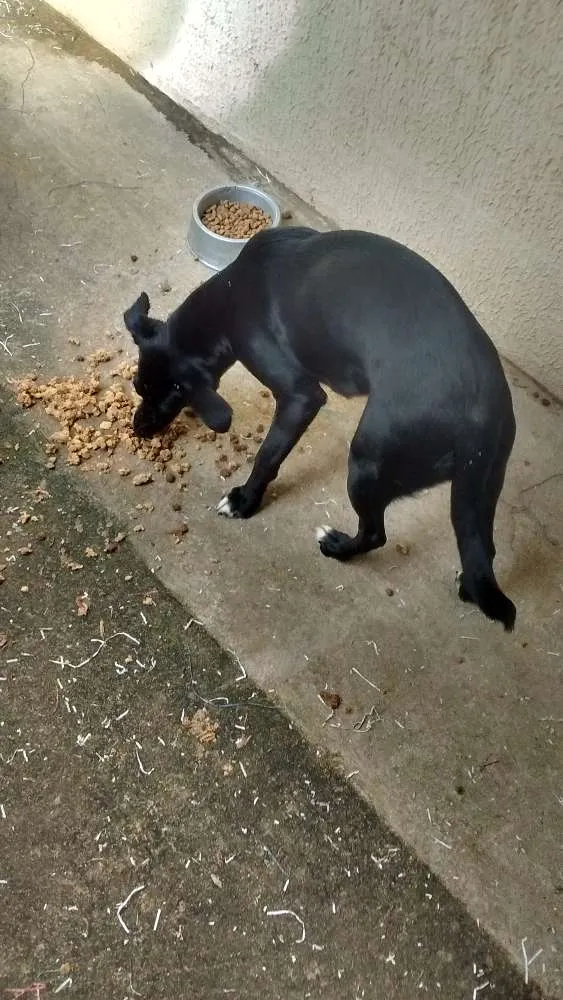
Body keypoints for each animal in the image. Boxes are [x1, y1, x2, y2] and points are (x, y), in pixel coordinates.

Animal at [125, 230, 516, 628]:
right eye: (138, 387)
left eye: (168, 397)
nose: (137, 428)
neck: (230, 294)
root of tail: (479, 424)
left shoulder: (300, 397)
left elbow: (267, 457)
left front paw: (244, 501)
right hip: (481, 488)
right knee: (482, 548)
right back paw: (467, 584)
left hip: (367, 460)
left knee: (375, 533)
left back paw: (337, 547)